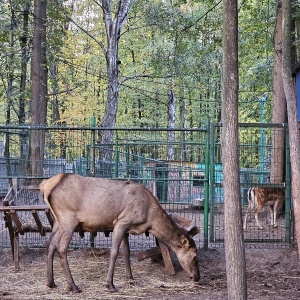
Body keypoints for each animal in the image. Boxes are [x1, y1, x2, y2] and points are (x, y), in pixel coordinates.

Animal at [39, 173, 199, 292]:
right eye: (194, 256)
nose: (197, 277)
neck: (150, 219)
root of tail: (45, 185)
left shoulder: (127, 229)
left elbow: (126, 252)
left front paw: (131, 278)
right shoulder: (121, 222)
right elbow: (115, 252)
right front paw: (110, 284)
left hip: (57, 221)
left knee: (49, 243)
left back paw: (50, 282)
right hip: (68, 219)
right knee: (61, 248)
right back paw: (73, 286)